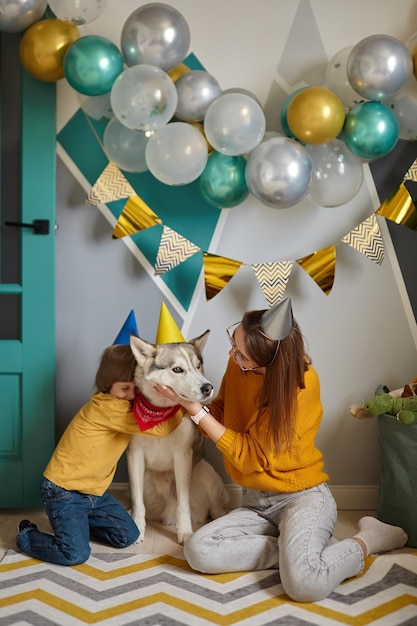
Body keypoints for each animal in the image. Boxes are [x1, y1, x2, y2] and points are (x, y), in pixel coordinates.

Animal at [128, 332, 229, 540]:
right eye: (177, 370)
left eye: (197, 366)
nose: (208, 387)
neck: (159, 416)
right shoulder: (135, 456)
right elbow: (137, 503)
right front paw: (138, 529)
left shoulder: (182, 456)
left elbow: (183, 505)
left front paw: (185, 533)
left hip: (205, 471)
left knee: (215, 509)